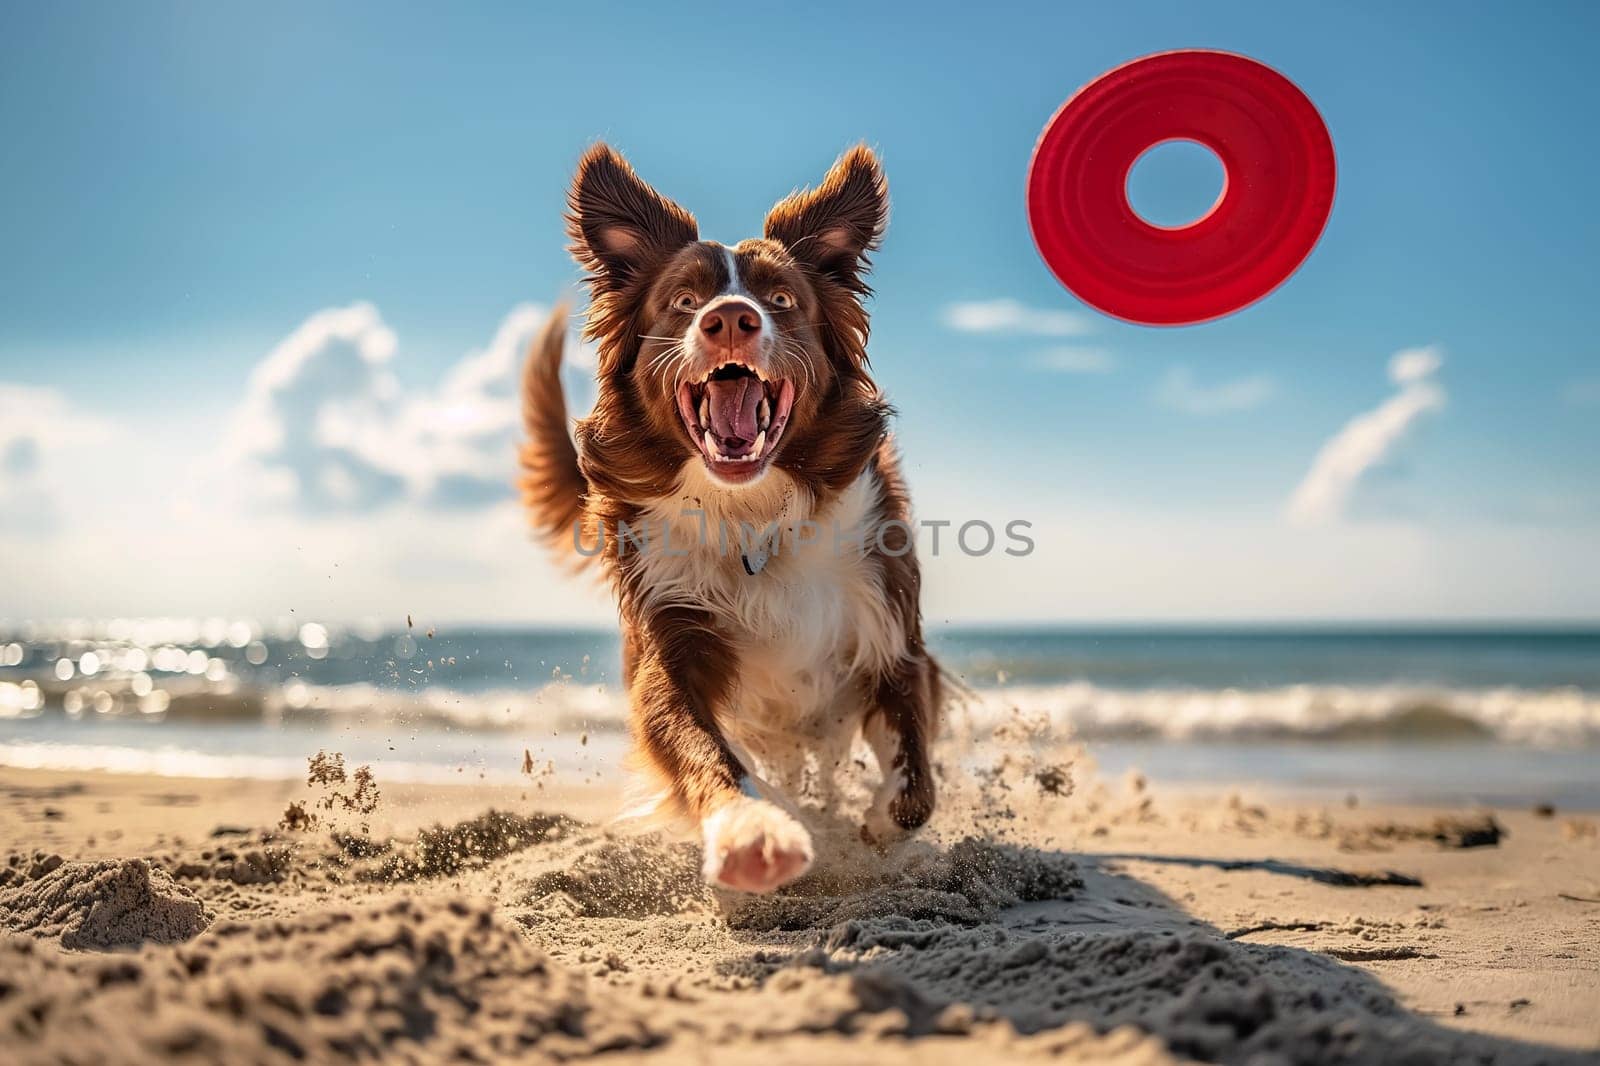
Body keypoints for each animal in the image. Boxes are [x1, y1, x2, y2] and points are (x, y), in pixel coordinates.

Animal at [521, 140, 934, 889]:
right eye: (684, 302)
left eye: (781, 300)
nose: (731, 319)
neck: (751, 512)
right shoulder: (669, 640)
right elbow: (703, 749)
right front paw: (756, 829)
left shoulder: (891, 627)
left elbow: (914, 783)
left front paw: (874, 824)